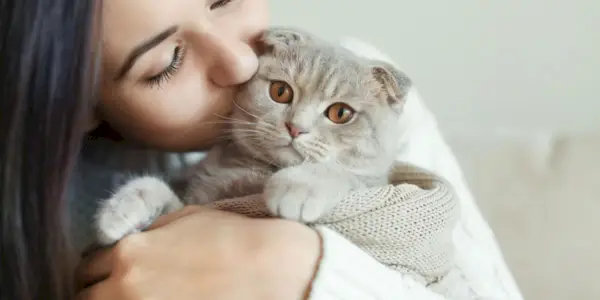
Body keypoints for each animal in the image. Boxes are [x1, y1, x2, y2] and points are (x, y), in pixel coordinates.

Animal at [95, 26, 412, 246]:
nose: (295, 127)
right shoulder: (193, 205)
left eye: (341, 113)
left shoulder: (371, 182)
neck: (254, 172)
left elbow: (340, 173)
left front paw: (297, 187)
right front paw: (119, 212)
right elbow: (153, 188)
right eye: (281, 91)